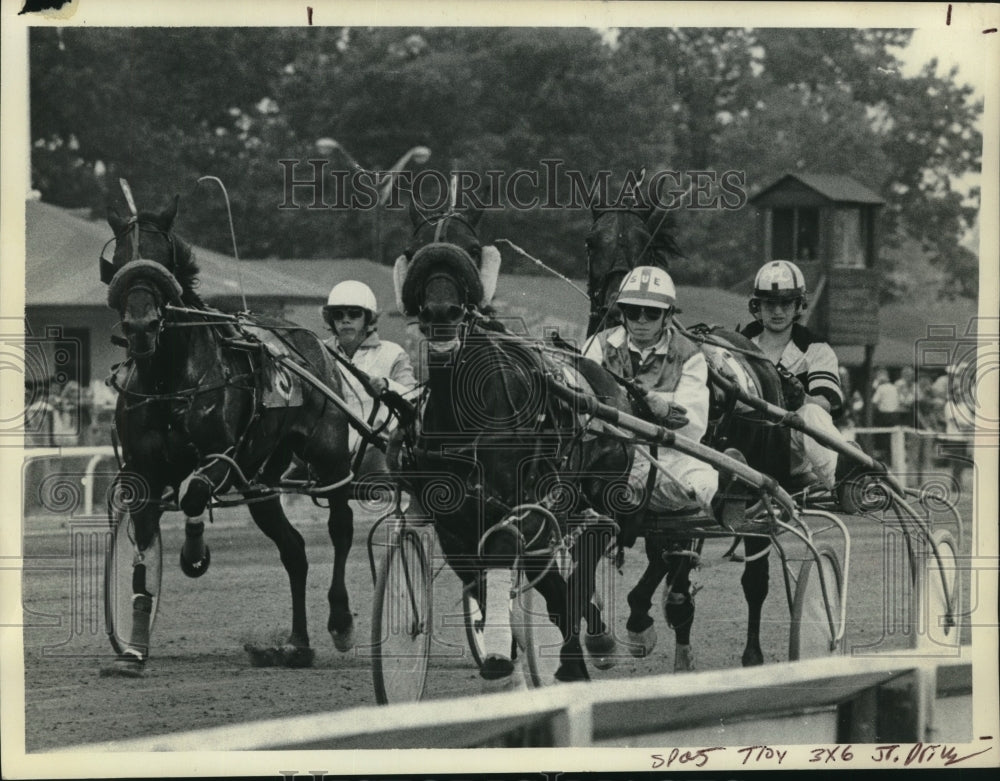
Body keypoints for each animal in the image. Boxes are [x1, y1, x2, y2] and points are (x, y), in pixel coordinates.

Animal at [101, 192, 358, 672]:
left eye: (163, 255)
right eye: (121, 257)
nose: (141, 326)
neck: (169, 380)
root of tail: (314, 342)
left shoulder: (222, 458)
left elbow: (194, 494)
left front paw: (193, 555)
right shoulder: (143, 471)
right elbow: (142, 554)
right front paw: (134, 649)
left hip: (329, 454)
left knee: (341, 527)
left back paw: (340, 622)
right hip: (262, 480)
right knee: (294, 549)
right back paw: (296, 644)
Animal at [392, 200, 632, 684]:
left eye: (469, 248)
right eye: (414, 250)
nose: (442, 312)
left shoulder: (521, 506)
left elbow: (514, 557)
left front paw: (507, 656)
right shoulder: (453, 524)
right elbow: (485, 582)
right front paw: (507, 660)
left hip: (600, 484)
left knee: (598, 532)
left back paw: (593, 642)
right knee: (557, 582)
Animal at [584, 200, 788, 664]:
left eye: (646, 241)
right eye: (591, 240)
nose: (616, 307)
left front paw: (647, 620)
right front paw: (606, 630)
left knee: (754, 574)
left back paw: (750, 652)